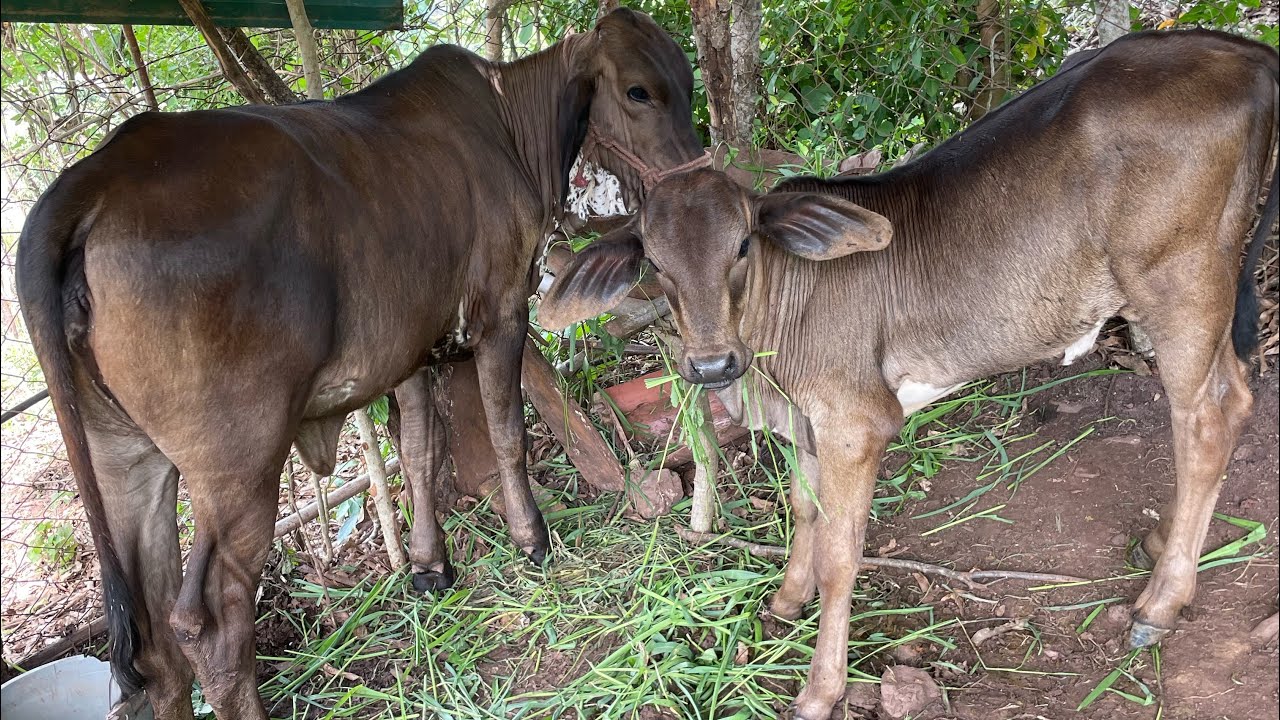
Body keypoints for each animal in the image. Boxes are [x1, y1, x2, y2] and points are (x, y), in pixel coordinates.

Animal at [15, 8, 704, 719]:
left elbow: (421, 455)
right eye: (638, 92)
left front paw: (429, 567)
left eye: (687, 80)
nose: (693, 175)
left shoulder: (414, 348)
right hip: (239, 460)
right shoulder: (502, 309)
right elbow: (506, 431)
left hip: (123, 455)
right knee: (209, 619)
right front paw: (531, 538)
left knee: (154, 638)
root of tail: (86, 186)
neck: (511, 122)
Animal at [539, 29, 1278, 719]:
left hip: (1182, 282)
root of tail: (1239, 50)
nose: (712, 363)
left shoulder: (855, 422)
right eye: (655, 262)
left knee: (1206, 419)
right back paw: (1162, 542)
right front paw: (785, 600)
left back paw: (1160, 603)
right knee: (1236, 397)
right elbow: (803, 510)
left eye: (744, 244)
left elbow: (840, 553)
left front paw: (822, 687)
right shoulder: (804, 421)